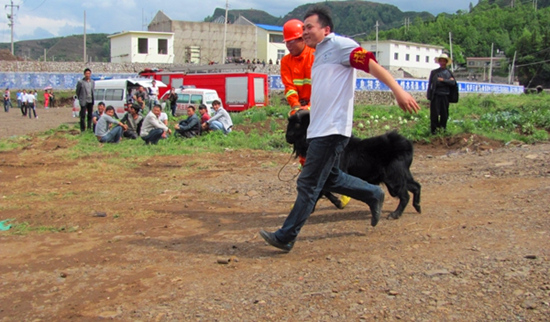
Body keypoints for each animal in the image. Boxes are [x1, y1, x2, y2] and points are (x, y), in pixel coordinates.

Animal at [288, 110, 422, 219]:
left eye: (298, 124)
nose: (287, 136)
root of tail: (407, 146)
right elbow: (322, 191)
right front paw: (338, 203)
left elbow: (322, 191)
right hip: (400, 175)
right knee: (416, 186)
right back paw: (417, 206)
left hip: (393, 177)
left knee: (405, 195)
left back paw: (395, 214)